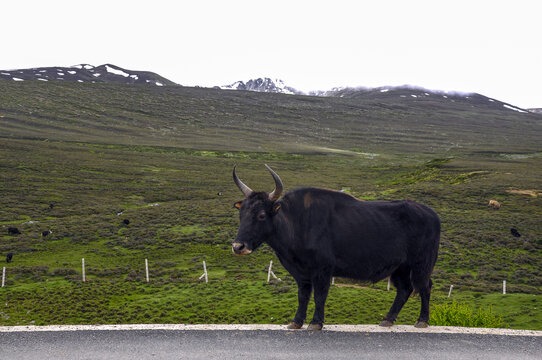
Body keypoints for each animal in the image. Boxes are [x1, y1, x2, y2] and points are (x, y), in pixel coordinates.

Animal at [233, 165, 442, 330]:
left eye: (261, 214)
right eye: (241, 214)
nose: (238, 246)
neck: (297, 222)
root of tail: (432, 214)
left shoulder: (323, 269)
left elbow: (320, 295)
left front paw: (315, 323)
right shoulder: (301, 273)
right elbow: (303, 296)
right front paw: (296, 322)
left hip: (421, 264)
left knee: (425, 286)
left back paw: (422, 321)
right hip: (400, 268)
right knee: (405, 290)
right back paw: (387, 320)